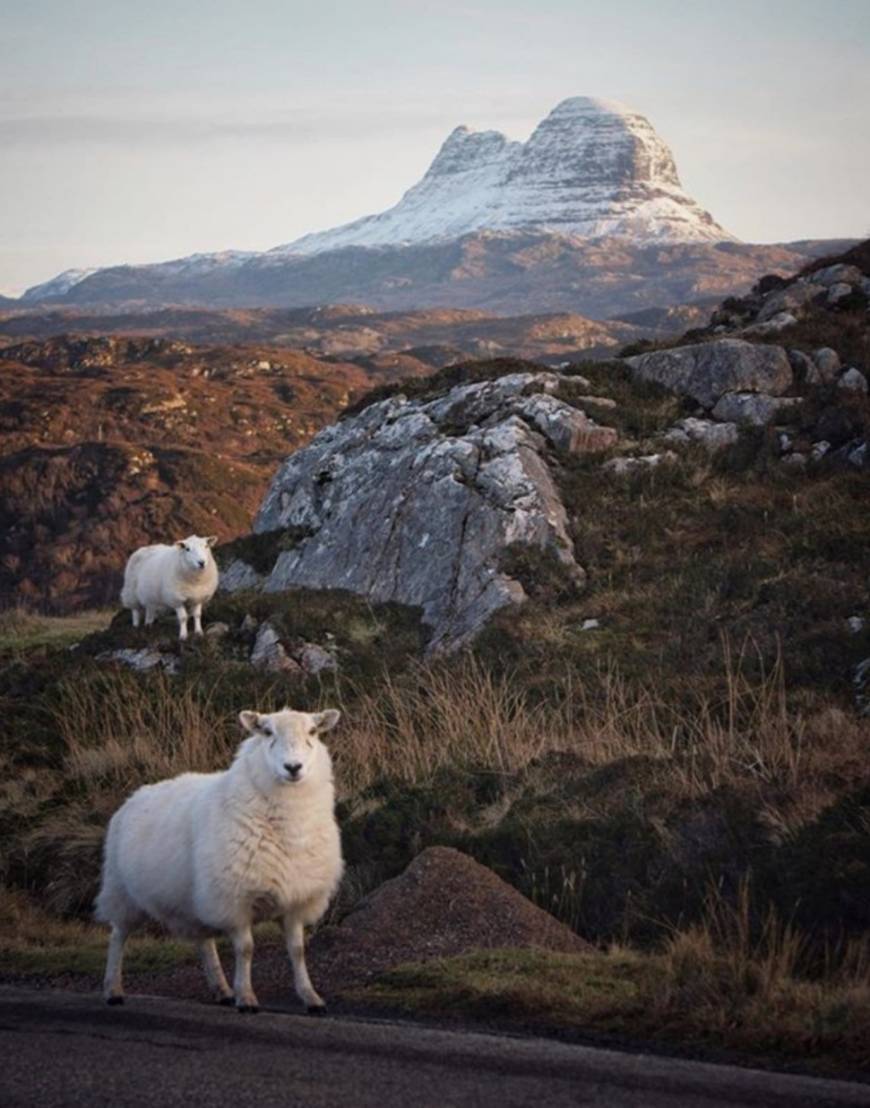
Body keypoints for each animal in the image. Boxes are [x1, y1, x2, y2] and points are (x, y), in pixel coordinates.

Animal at [93, 709, 341, 1014]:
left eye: (313, 732)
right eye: (267, 732)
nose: (293, 767)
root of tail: (133, 796)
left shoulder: (296, 899)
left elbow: (298, 951)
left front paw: (310, 997)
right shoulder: (234, 899)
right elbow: (245, 949)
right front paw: (246, 997)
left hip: (195, 896)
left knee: (204, 942)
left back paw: (221, 989)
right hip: (122, 891)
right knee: (118, 936)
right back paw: (113, 989)